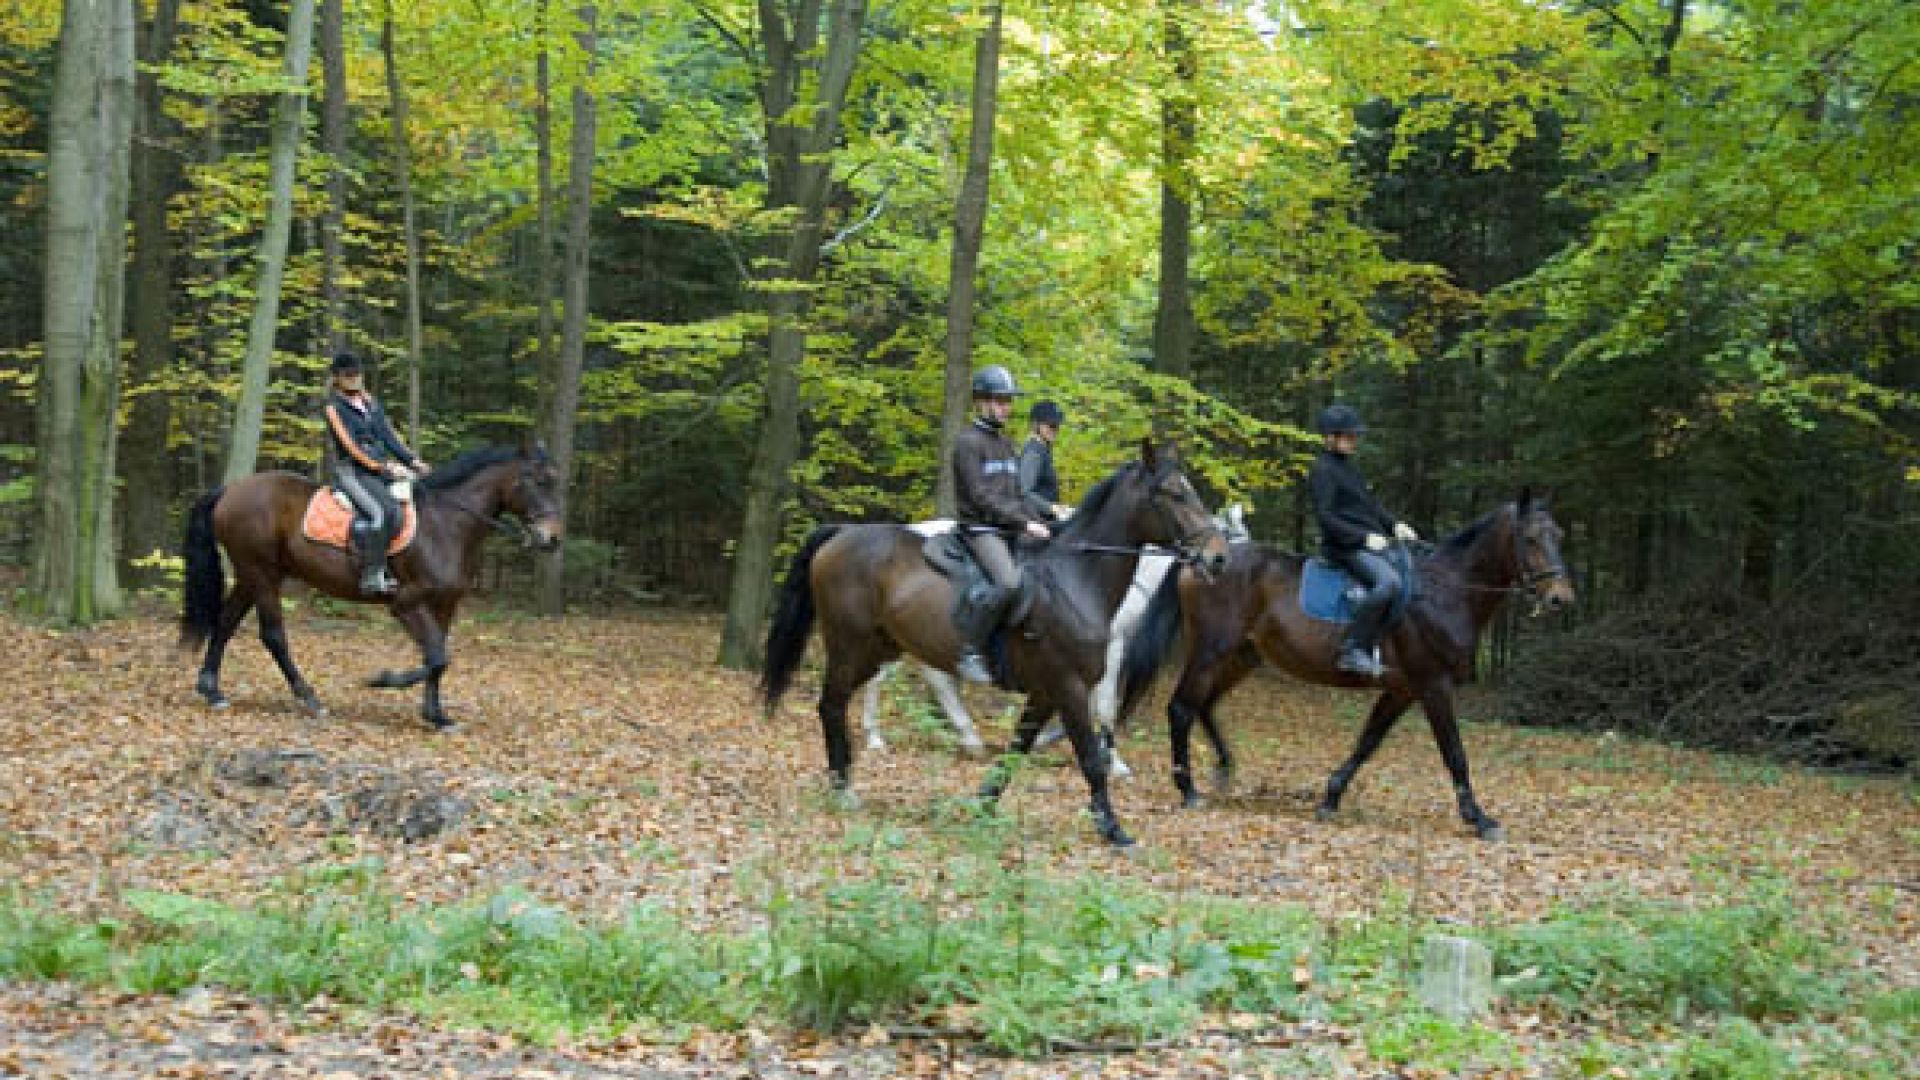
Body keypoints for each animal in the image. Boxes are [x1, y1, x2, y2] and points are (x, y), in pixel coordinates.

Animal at [180, 441, 560, 726]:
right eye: (536, 480)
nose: (552, 539)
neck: (446, 524)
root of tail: (230, 490)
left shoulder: (445, 603)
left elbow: (438, 656)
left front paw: (436, 715)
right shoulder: (405, 604)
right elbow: (437, 657)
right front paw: (383, 680)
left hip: (254, 574)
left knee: (225, 623)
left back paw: (212, 690)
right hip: (261, 574)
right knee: (273, 635)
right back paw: (310, 698)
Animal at [752, 438, 1228, 841]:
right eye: (1174, 494)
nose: (1218, 558)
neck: (1076, 579)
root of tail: (841, 532)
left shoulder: (1046, 691)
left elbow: (1018, 750)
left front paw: (981, 806)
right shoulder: (1069, 686)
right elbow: (1091, 758)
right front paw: (1113, 828)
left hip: (880, 647)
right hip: (849, 645)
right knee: (833, 705)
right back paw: (844, 787)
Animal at [1121, 490, 1574, 841]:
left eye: (1559, 536)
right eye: (1530, 539)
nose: (1561, 598)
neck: (1446, 591)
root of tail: (1202, 559)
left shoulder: (1402, 689)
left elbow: (1367, 742)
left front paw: (1331, 796)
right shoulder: (1433, 685)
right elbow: (1454, 753)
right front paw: (1479, 819)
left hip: (1241, 656)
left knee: (1206, 705)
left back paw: (1223, 769)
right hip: (1210, 651)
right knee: (1182, 708)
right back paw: (1187, 789)